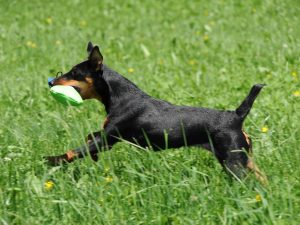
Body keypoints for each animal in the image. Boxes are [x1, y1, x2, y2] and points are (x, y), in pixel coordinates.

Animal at [45, 41, 266, 183]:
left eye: (75, 73)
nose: (51, 82)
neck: (119, 96)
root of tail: (236, 116)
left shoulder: (109, 138)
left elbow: (75, 151)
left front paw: (53, 159)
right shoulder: (107, 139)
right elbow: (89, 138)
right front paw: (93, 156)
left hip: (233, 162)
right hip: (242, 158)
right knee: (262, 177)